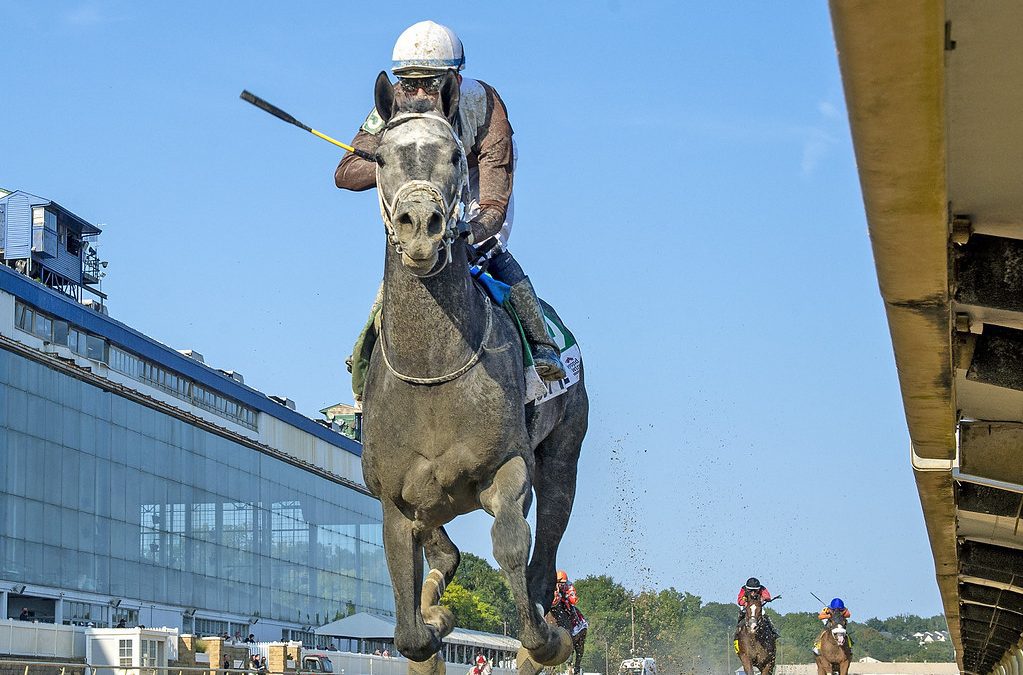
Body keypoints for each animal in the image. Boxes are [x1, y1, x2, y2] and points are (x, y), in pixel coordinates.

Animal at [359, 69, 589, 675]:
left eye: (457, 155)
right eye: (381, 157)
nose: (422, 225)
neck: (434, 369)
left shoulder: (509, 466)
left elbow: (511, 543)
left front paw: (545, 639)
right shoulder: (394, 498)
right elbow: (411, 633)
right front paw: (434, 618)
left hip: (563, 455)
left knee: (544, 548)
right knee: (447, 550)